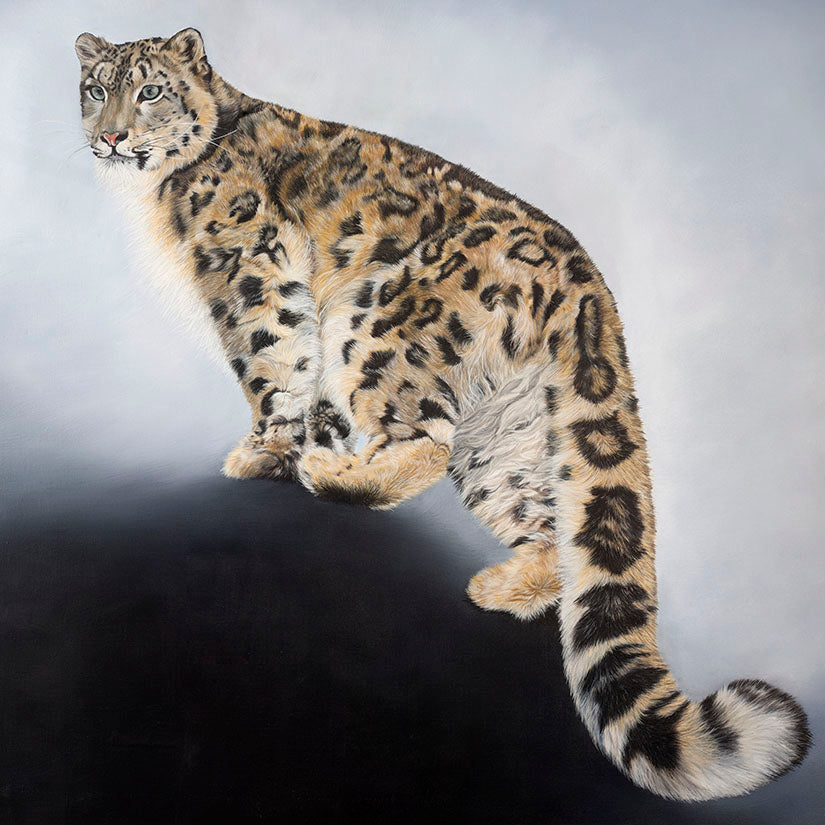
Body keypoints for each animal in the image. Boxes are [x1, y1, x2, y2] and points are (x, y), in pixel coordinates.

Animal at [75, 28, 811, 801]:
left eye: (151, 89)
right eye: (96, 88)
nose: (112, 134)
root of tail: (587, 285)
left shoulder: (247, 270)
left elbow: (274, 361)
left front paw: (266, 451)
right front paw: (300, 443)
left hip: (375, 323)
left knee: (424, 439)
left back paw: (332, 472)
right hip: (507, 437)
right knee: (546, 526)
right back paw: (495, 582)